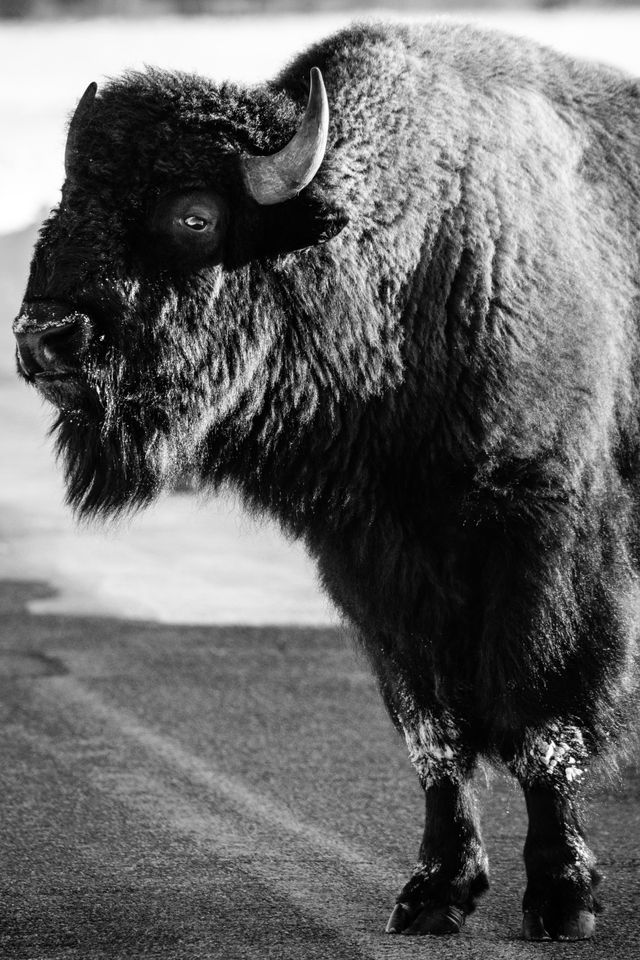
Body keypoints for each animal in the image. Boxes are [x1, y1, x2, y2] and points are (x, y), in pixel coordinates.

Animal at [11, 18, 640, 940]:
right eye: (65, 203)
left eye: (194, 215)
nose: (45, 338)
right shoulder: (374, 561)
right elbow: (432, 731)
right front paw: (434, 893)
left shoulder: (543, 537)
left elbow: (540, 721)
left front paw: (563, 899)